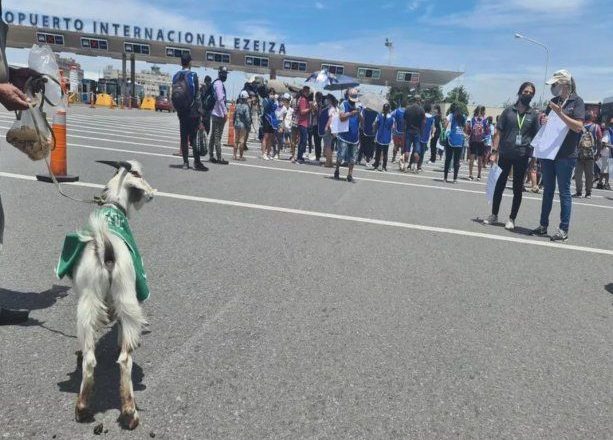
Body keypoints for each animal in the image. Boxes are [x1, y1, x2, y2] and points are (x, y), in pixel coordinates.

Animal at [61, 160, 154, 428]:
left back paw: (84, 407)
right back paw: (128, 411)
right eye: (138, 174)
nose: (150, 195)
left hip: (91, 300)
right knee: (123, 358)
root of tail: (107, 249)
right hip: (125, 296)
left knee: (92, 358)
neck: (113, 204)